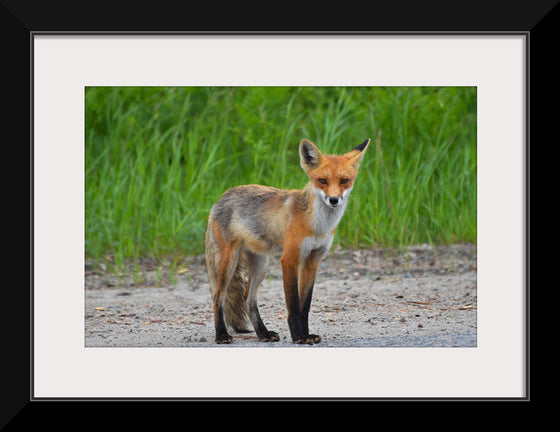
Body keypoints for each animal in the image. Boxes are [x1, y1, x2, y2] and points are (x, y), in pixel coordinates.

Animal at [203, 138, 370, 344]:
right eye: (322, 181)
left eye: (344, 180)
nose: (333, 200)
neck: (317, 225)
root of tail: (221, 198)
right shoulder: (290, 259)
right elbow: (294, 306)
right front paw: (298, 336)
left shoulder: (313, 260)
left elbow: (305, 306)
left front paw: (306, 335)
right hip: (229, 261)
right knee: (218, 296)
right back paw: (222, 334)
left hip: (261, 264)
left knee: (248, 299)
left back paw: (263, 333)